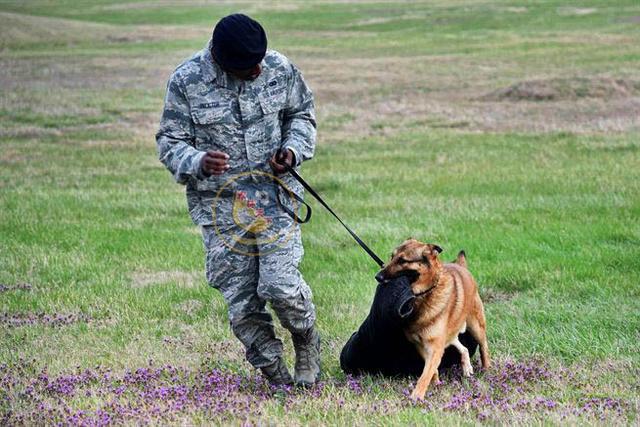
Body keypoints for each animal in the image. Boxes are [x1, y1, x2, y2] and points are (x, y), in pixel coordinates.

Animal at [376, 239, 490, 400]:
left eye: (403, 260)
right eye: (392, 257)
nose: (378, 277)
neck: (424, 295)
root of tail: (461, 266)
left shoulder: (435, 347)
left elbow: (425, 374)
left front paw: (416, 396)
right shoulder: (421, 345)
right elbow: (431, 370)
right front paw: (435, 384)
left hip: (475, 326)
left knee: (483, 346)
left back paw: (486, 369)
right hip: (449, 335)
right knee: (464, 348)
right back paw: (466, 366)